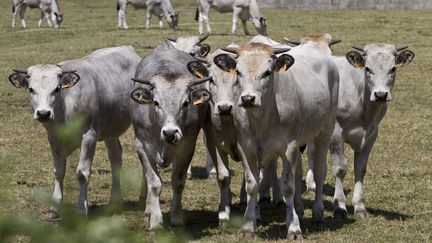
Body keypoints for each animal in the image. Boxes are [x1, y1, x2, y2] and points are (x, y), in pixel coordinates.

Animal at [7, 46, 142, 218]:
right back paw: (115, 200)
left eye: (56, 89)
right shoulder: (53, 138)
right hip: (110, 131)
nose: (43, 113)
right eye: (31, 89)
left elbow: (82, 173)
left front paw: (81, 208)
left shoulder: (89, 137)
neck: (65, 107)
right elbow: (58, 172)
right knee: (115, 157)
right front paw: (54, 207)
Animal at [131, 42, 213, 230]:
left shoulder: (187, 147)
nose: (170, 133)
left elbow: (178, 182)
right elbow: (154, 183)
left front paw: (176, 218)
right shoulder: (142, 146)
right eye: (155, 102)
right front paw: (155, 220)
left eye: (185, 103)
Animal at [214, 42, 340, 239]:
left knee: (319, 172)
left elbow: (287, 186)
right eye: (238, 72)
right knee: (298, 173)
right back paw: (299, 210)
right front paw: (248, 226)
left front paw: (294, 228)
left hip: (325, 131)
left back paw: (318, 213)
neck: (262, 118)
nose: (248, 98)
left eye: (267, 72)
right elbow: (252, 185)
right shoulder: (246, 148)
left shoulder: (289, 147)